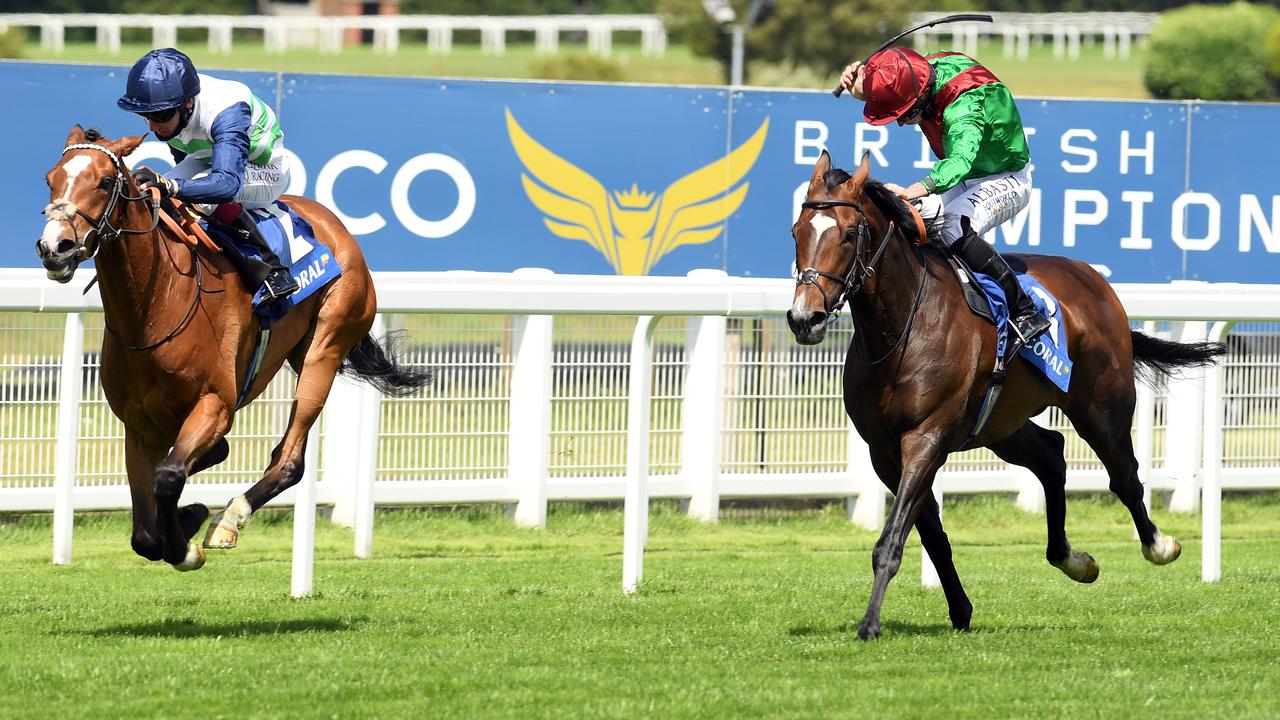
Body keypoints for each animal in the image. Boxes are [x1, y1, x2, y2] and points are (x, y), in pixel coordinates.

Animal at [37, 124, 430, 571]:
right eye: (50, 179)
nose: (55, 247)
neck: (156, 305)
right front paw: (183, 520)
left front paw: (186, 544)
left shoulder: (215, 404)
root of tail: (336, 226)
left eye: (105, 181)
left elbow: (168, 478)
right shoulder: (138, 425)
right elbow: (144, 533)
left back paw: (229, 518)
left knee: (290, 459)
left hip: (325, 347)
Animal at [783, 152, 1223, 638]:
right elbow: (931, 535)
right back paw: (1072, 560)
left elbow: (893, 538)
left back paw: (1158, 545)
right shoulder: (884, 451)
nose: (805, 318)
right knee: (1051, 454)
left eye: (847, 233)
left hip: (1102, 408)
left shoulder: (926, 438)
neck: (901, 328)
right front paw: (960, 610)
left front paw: (870, 624)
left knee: (1124, 477)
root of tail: (1097, 282)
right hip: (1002, 424)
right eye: (797, 232)